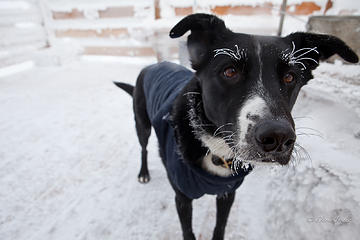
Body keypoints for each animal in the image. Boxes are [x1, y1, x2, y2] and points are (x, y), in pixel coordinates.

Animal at [114, 14, 358, 240]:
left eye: (290, 77)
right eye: (230, 71)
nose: (277, 137)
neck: (216, 150)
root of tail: (153, 65)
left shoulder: (227, 193)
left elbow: (220, 226)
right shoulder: (182, 199)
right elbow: (188, 231)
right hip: (142, 125)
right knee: (144, 148)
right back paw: (144, 173)